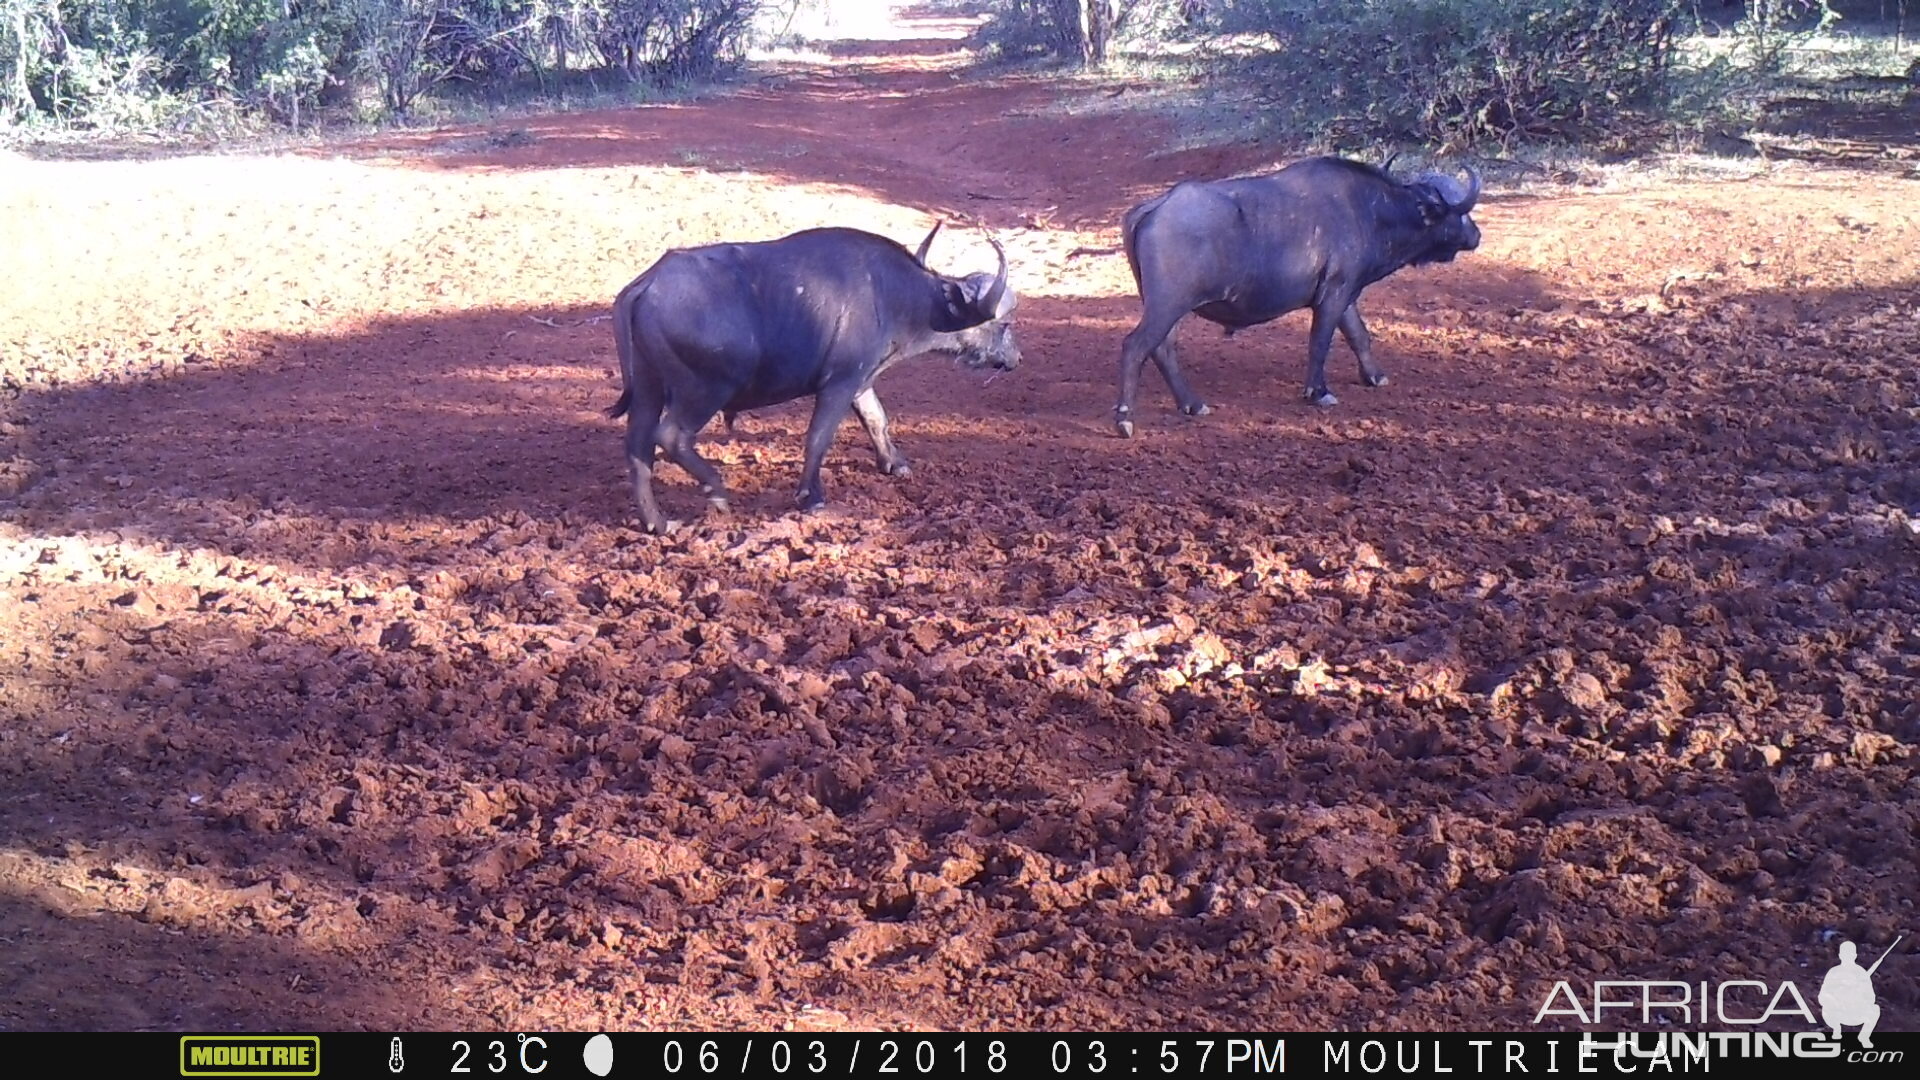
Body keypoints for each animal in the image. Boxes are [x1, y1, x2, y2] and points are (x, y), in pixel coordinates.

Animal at [610, 223, 1021, 534]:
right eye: (1004, 325)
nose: (1016, 359)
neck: (897, 296)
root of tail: (648, 283)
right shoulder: (838, 383)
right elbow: (818, 438)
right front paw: (813, 496)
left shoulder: (860, 381)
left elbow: (877, 420)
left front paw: (895, 463)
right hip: (704, 391)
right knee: (670, 436)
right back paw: (716, 490)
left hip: (648, 388)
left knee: (637, 449)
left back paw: (658, 523)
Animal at [1113, 155, 1482, 432]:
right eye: (1462, 214)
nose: (1476, 235)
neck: (1371, 211)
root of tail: (1156, 206)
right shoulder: (1333, 294)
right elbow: (1319, 343)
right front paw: (1318, 392)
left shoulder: (1346, 295)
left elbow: (1359, 336)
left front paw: (1374, 376)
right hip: (1168, 305)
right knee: (1135, 346)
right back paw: (1125, 418)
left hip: (1170, 308)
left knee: (1163, 349)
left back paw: (1192, 403)